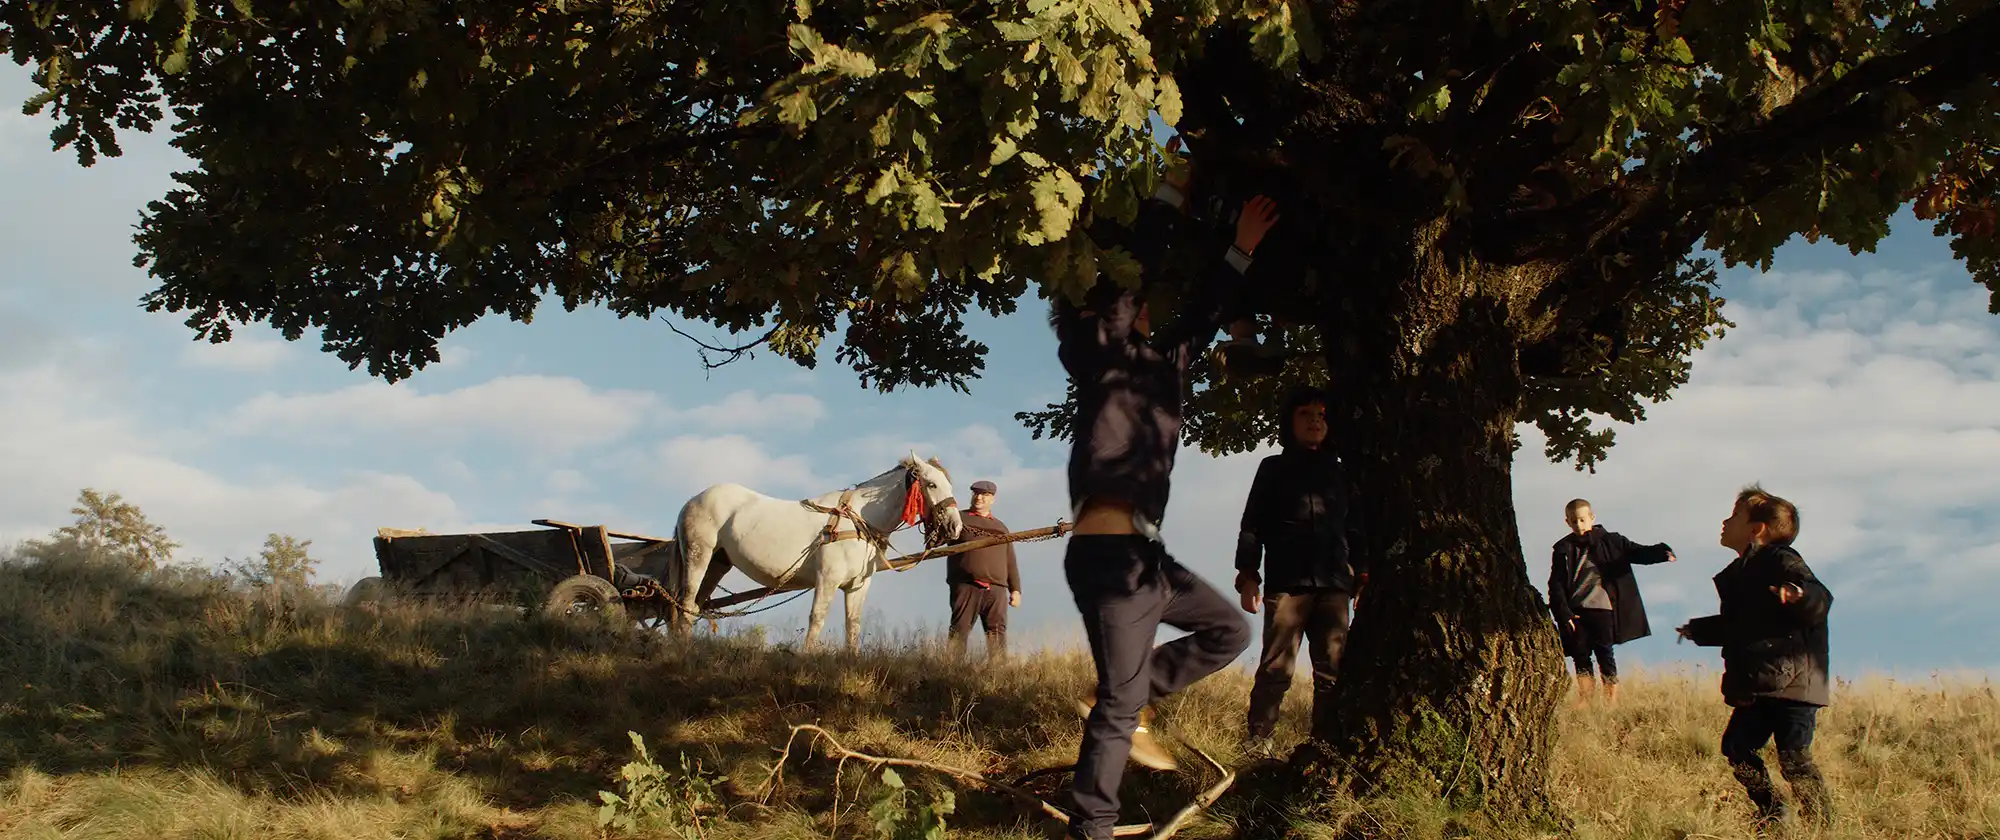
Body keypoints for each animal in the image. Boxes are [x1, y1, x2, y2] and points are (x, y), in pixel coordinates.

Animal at [668, 452, 964, 648]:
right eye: (932, 484)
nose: (955, 526)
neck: (858, 520)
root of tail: (690, 502)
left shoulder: (857, 586)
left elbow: (853, 625)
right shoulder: (827, 581)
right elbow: (817, 619)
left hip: (718, 563)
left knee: (693, 606)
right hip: (699, 555)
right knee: (686, 604)